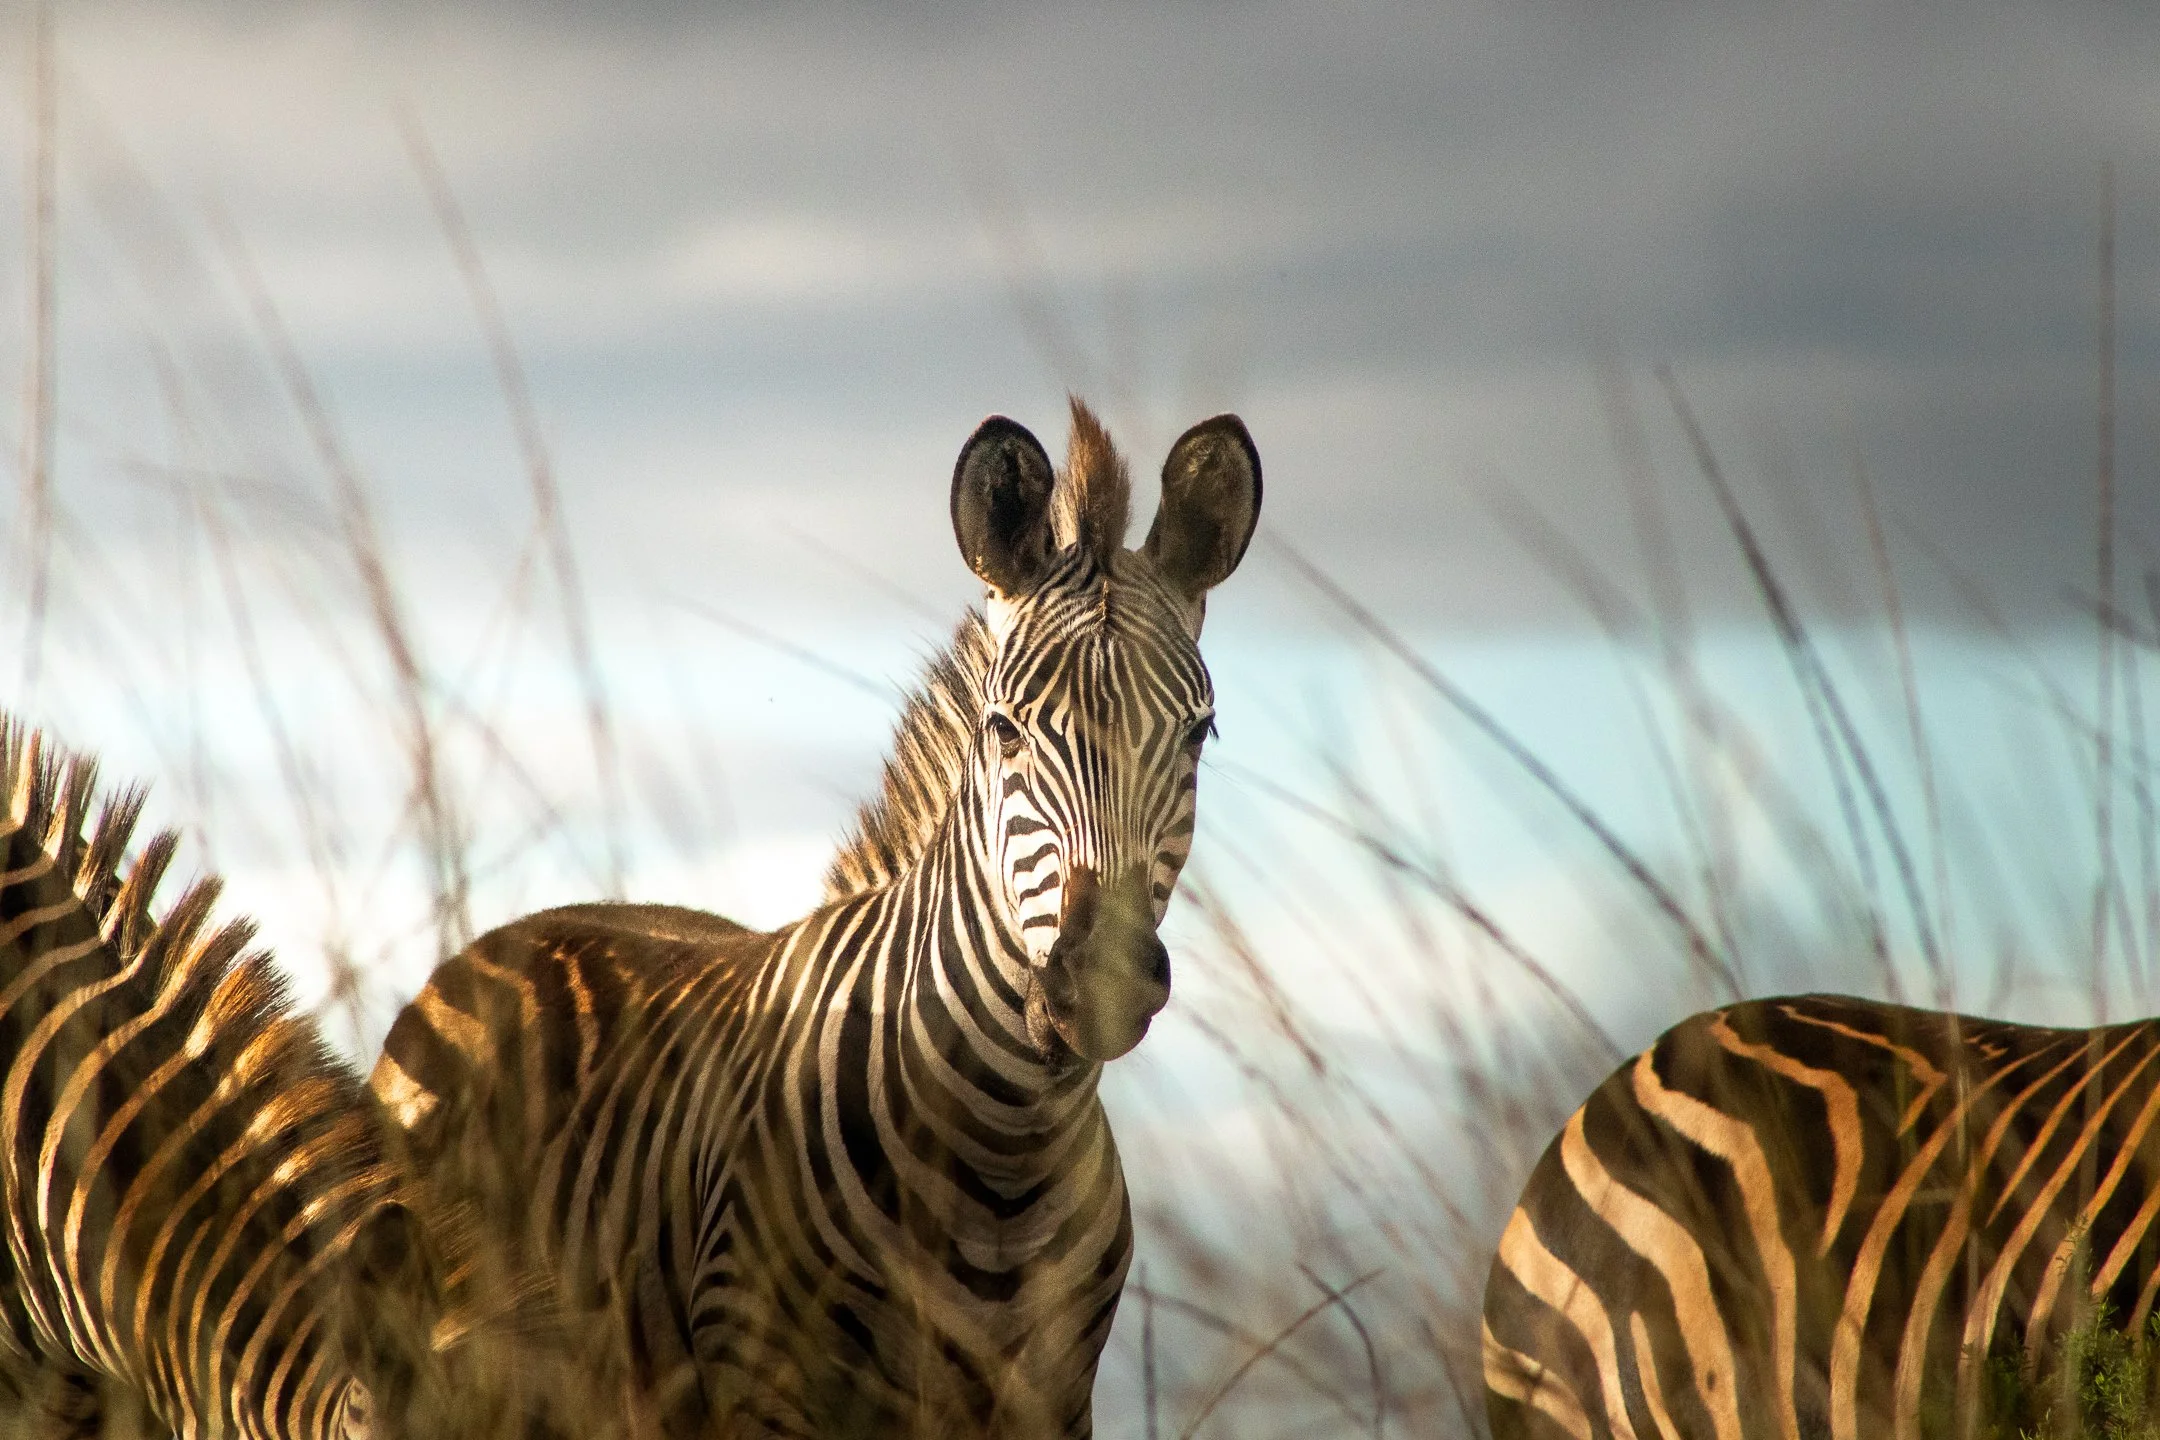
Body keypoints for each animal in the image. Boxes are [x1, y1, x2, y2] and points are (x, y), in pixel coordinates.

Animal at [367, 399, 1262, 1438]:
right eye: (1003, 729)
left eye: (1199, 732)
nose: (1104, 977)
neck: (1002, 1151)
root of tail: (502, 939)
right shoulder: (765, 1390)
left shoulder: (1050, 1404)